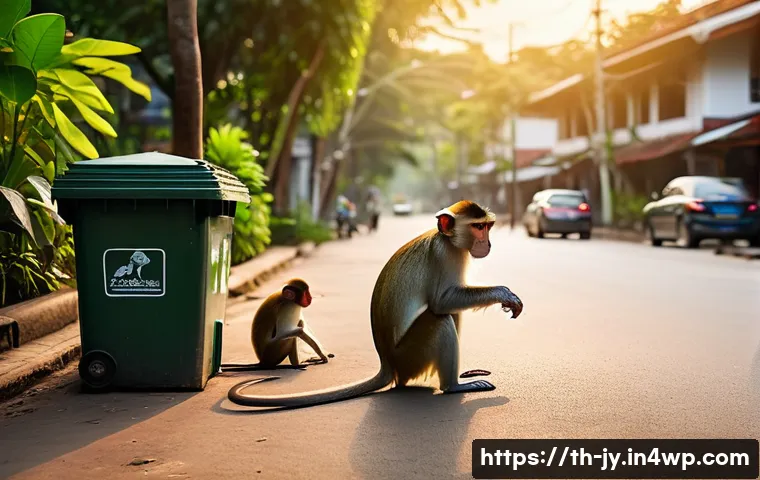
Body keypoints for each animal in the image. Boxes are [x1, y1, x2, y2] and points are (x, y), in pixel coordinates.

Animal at [226, 200, 523, 409]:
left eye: (487, 226)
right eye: (478, 227)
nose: (488, 242)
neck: (445, 237)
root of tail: (389, 364)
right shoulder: (446, 254)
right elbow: (442, 301)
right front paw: (505, 294)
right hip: (411, 356)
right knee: (439, 319)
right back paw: (453, 386)